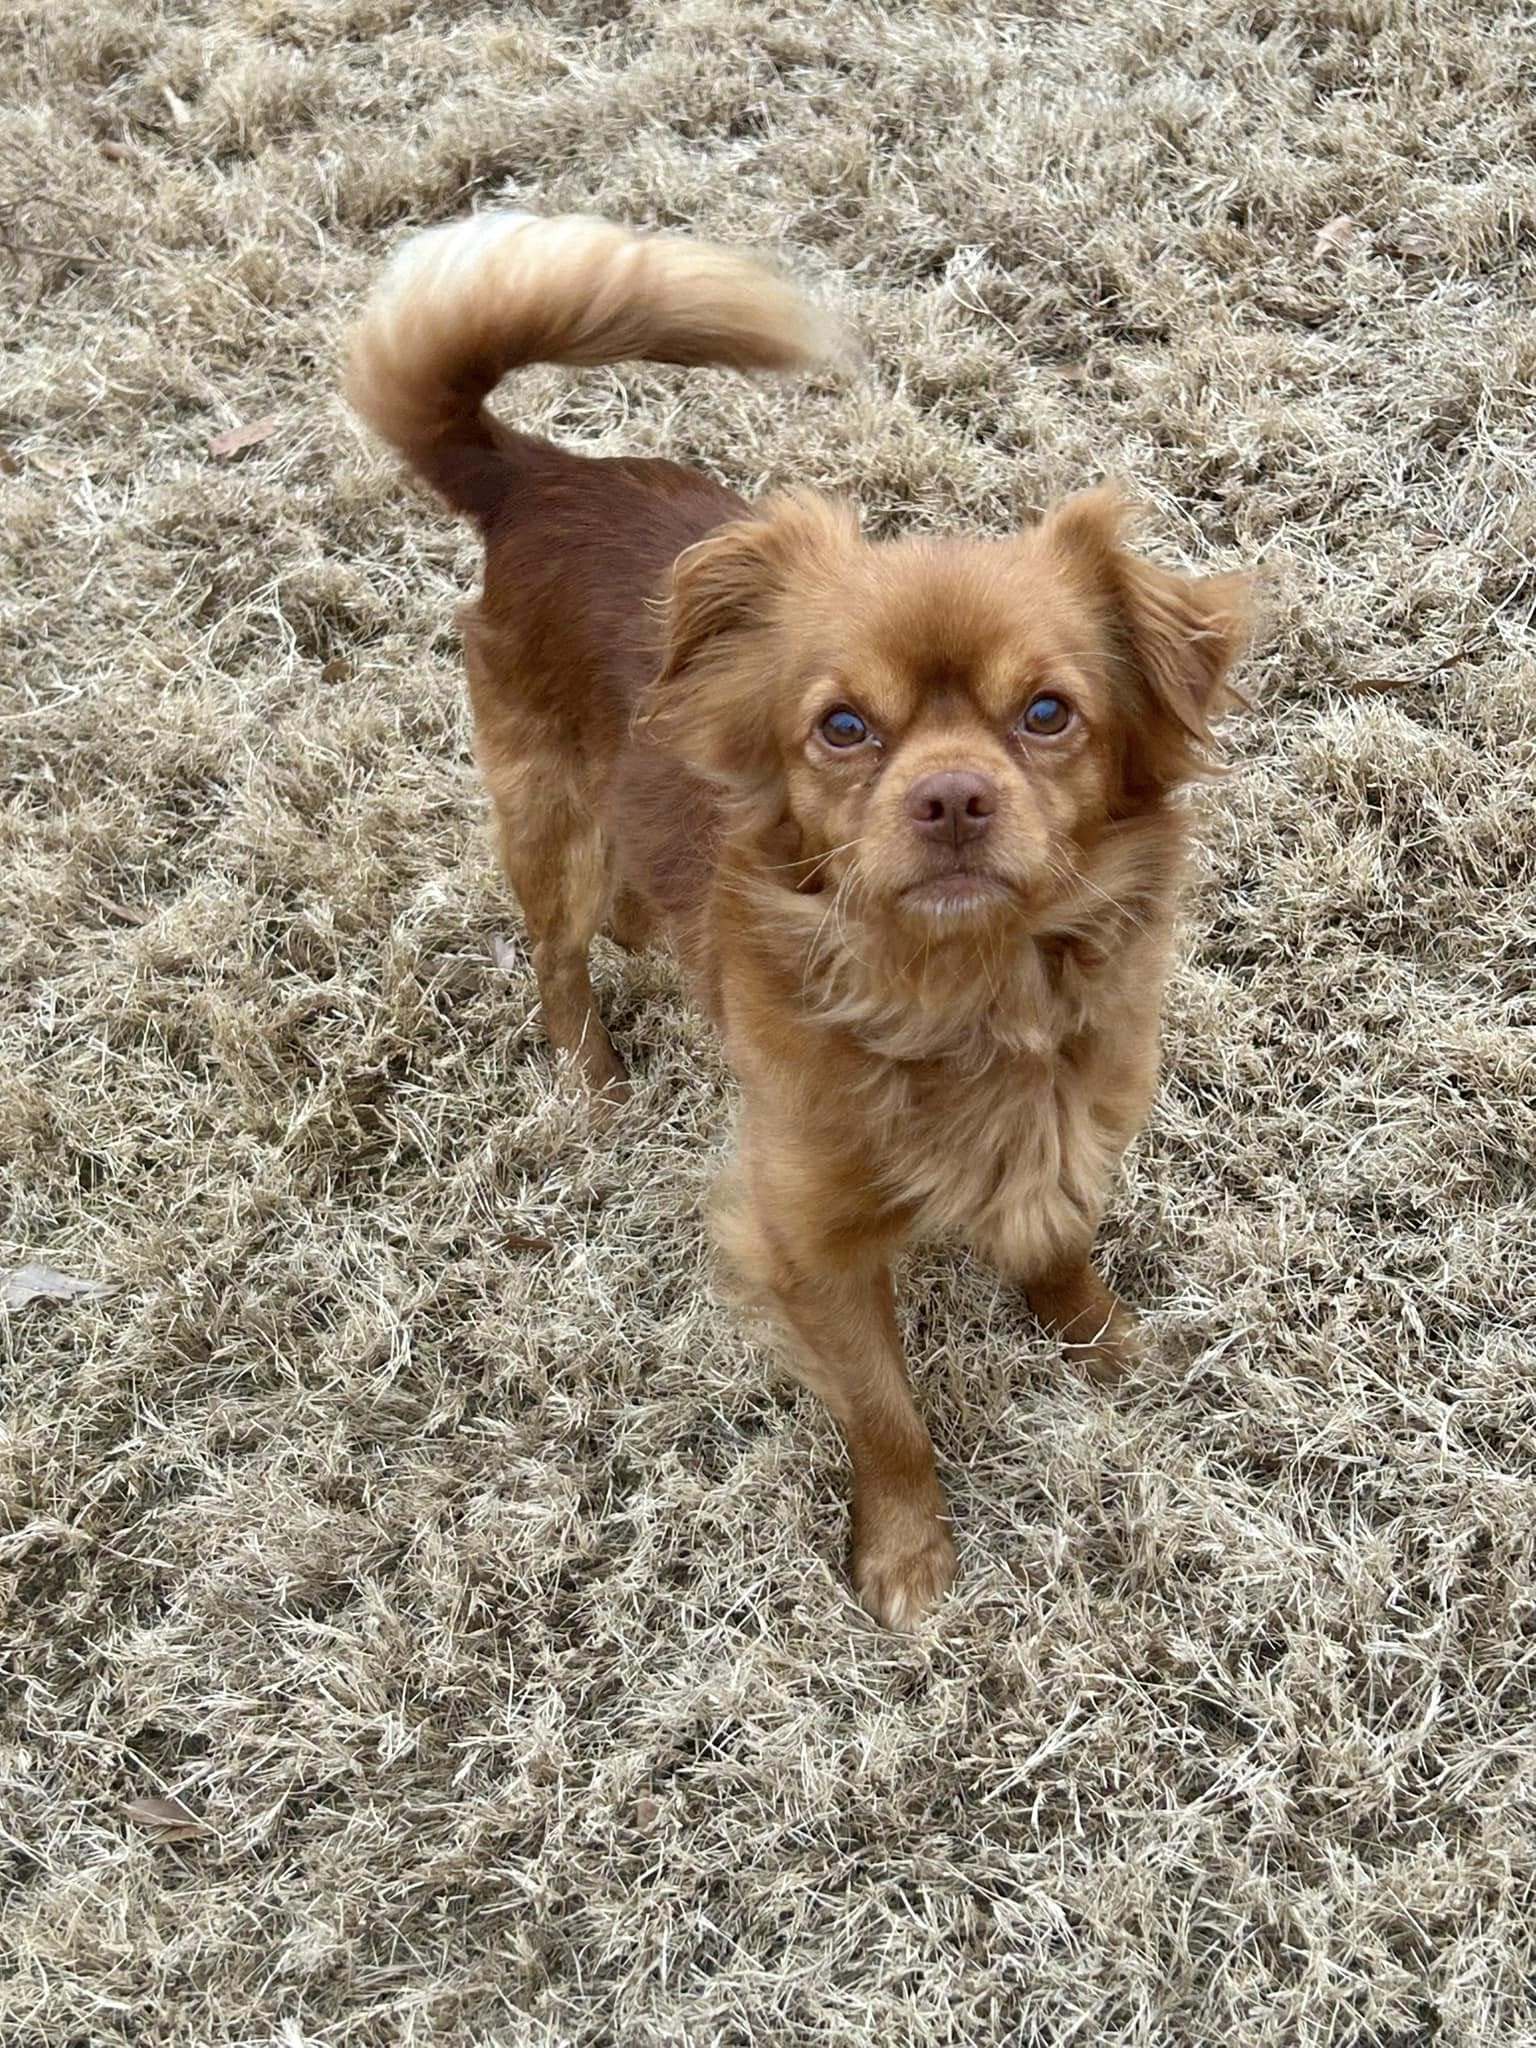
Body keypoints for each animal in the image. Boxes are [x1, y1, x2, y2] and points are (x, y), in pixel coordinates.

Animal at [348, 216, 1253, 1630]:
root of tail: (538, 475)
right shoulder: (806, 1234)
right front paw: (908, 1558)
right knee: (556, 954)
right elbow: (884, 1413)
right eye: (843, 726)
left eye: (1048, 713)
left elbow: (1058, 1239)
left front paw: (1101, 1342)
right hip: (548, 816)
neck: (960, 987)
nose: (950, 796)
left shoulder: (1068, 1120)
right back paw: (590, 1075)